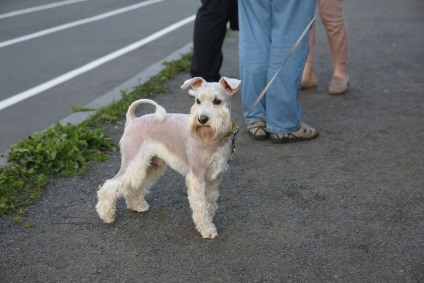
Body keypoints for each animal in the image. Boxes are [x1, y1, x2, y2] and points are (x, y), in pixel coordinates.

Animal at [97, 76, 242, 239]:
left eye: (217, 101)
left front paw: (208, 220)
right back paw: (106, 215)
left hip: (149, 166)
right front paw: (207, 229)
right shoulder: (196, 176)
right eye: (197, 101)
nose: (202, 119)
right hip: (132, 163)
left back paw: (137, 205)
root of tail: (133, 120)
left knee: (133, 186)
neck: (214, 139)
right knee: (110, 185)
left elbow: (210, 201)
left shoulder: (214, 177)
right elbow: (200, 204)